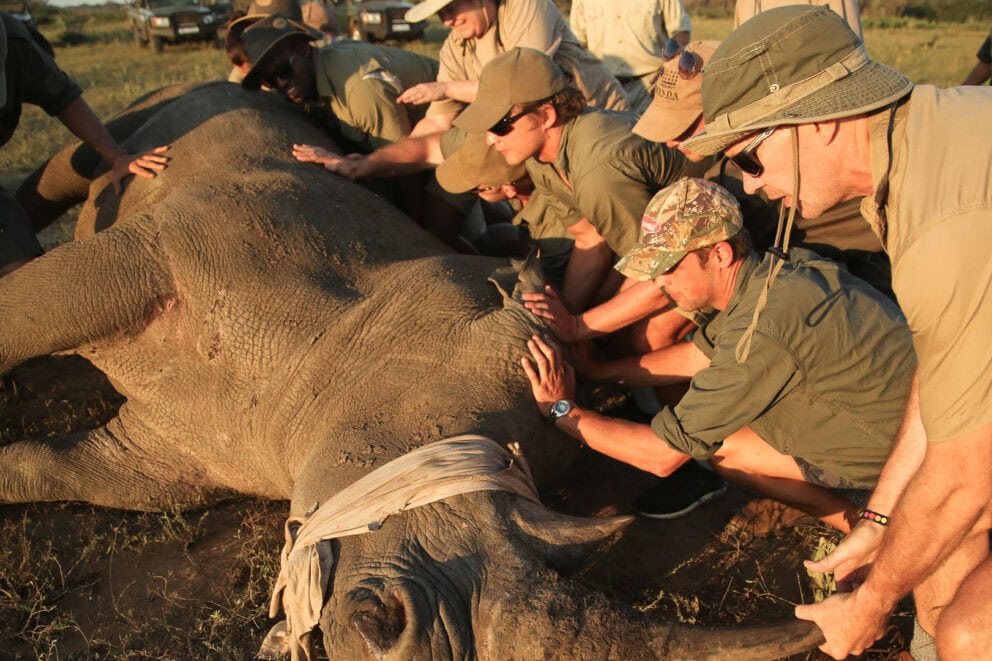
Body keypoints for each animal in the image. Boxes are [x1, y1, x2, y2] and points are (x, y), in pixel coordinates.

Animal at [0, 82, 823, 659]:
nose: (406, 635)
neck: (324, 354)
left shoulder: (194, 449)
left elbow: (65, 470)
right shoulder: (171, 245)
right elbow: (27, 312)